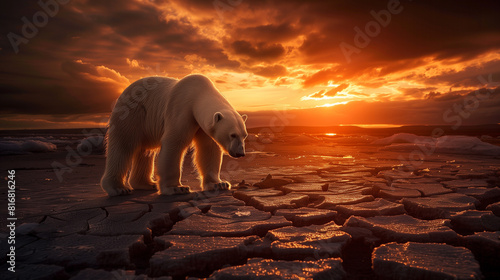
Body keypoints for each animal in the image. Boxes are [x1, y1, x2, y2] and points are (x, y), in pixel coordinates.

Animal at [101, 74, 248, 197]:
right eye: (233, 135)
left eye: (244, 135)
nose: (240, 153)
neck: (198, 94)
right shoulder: (181, 109)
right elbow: (174, 143)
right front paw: (177, 188)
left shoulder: (201, 124)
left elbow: (209, 149)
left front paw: (219, 184)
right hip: (132, 113)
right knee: (123, 145)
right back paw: (118, 188)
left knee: (145, 151)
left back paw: (147, 183)